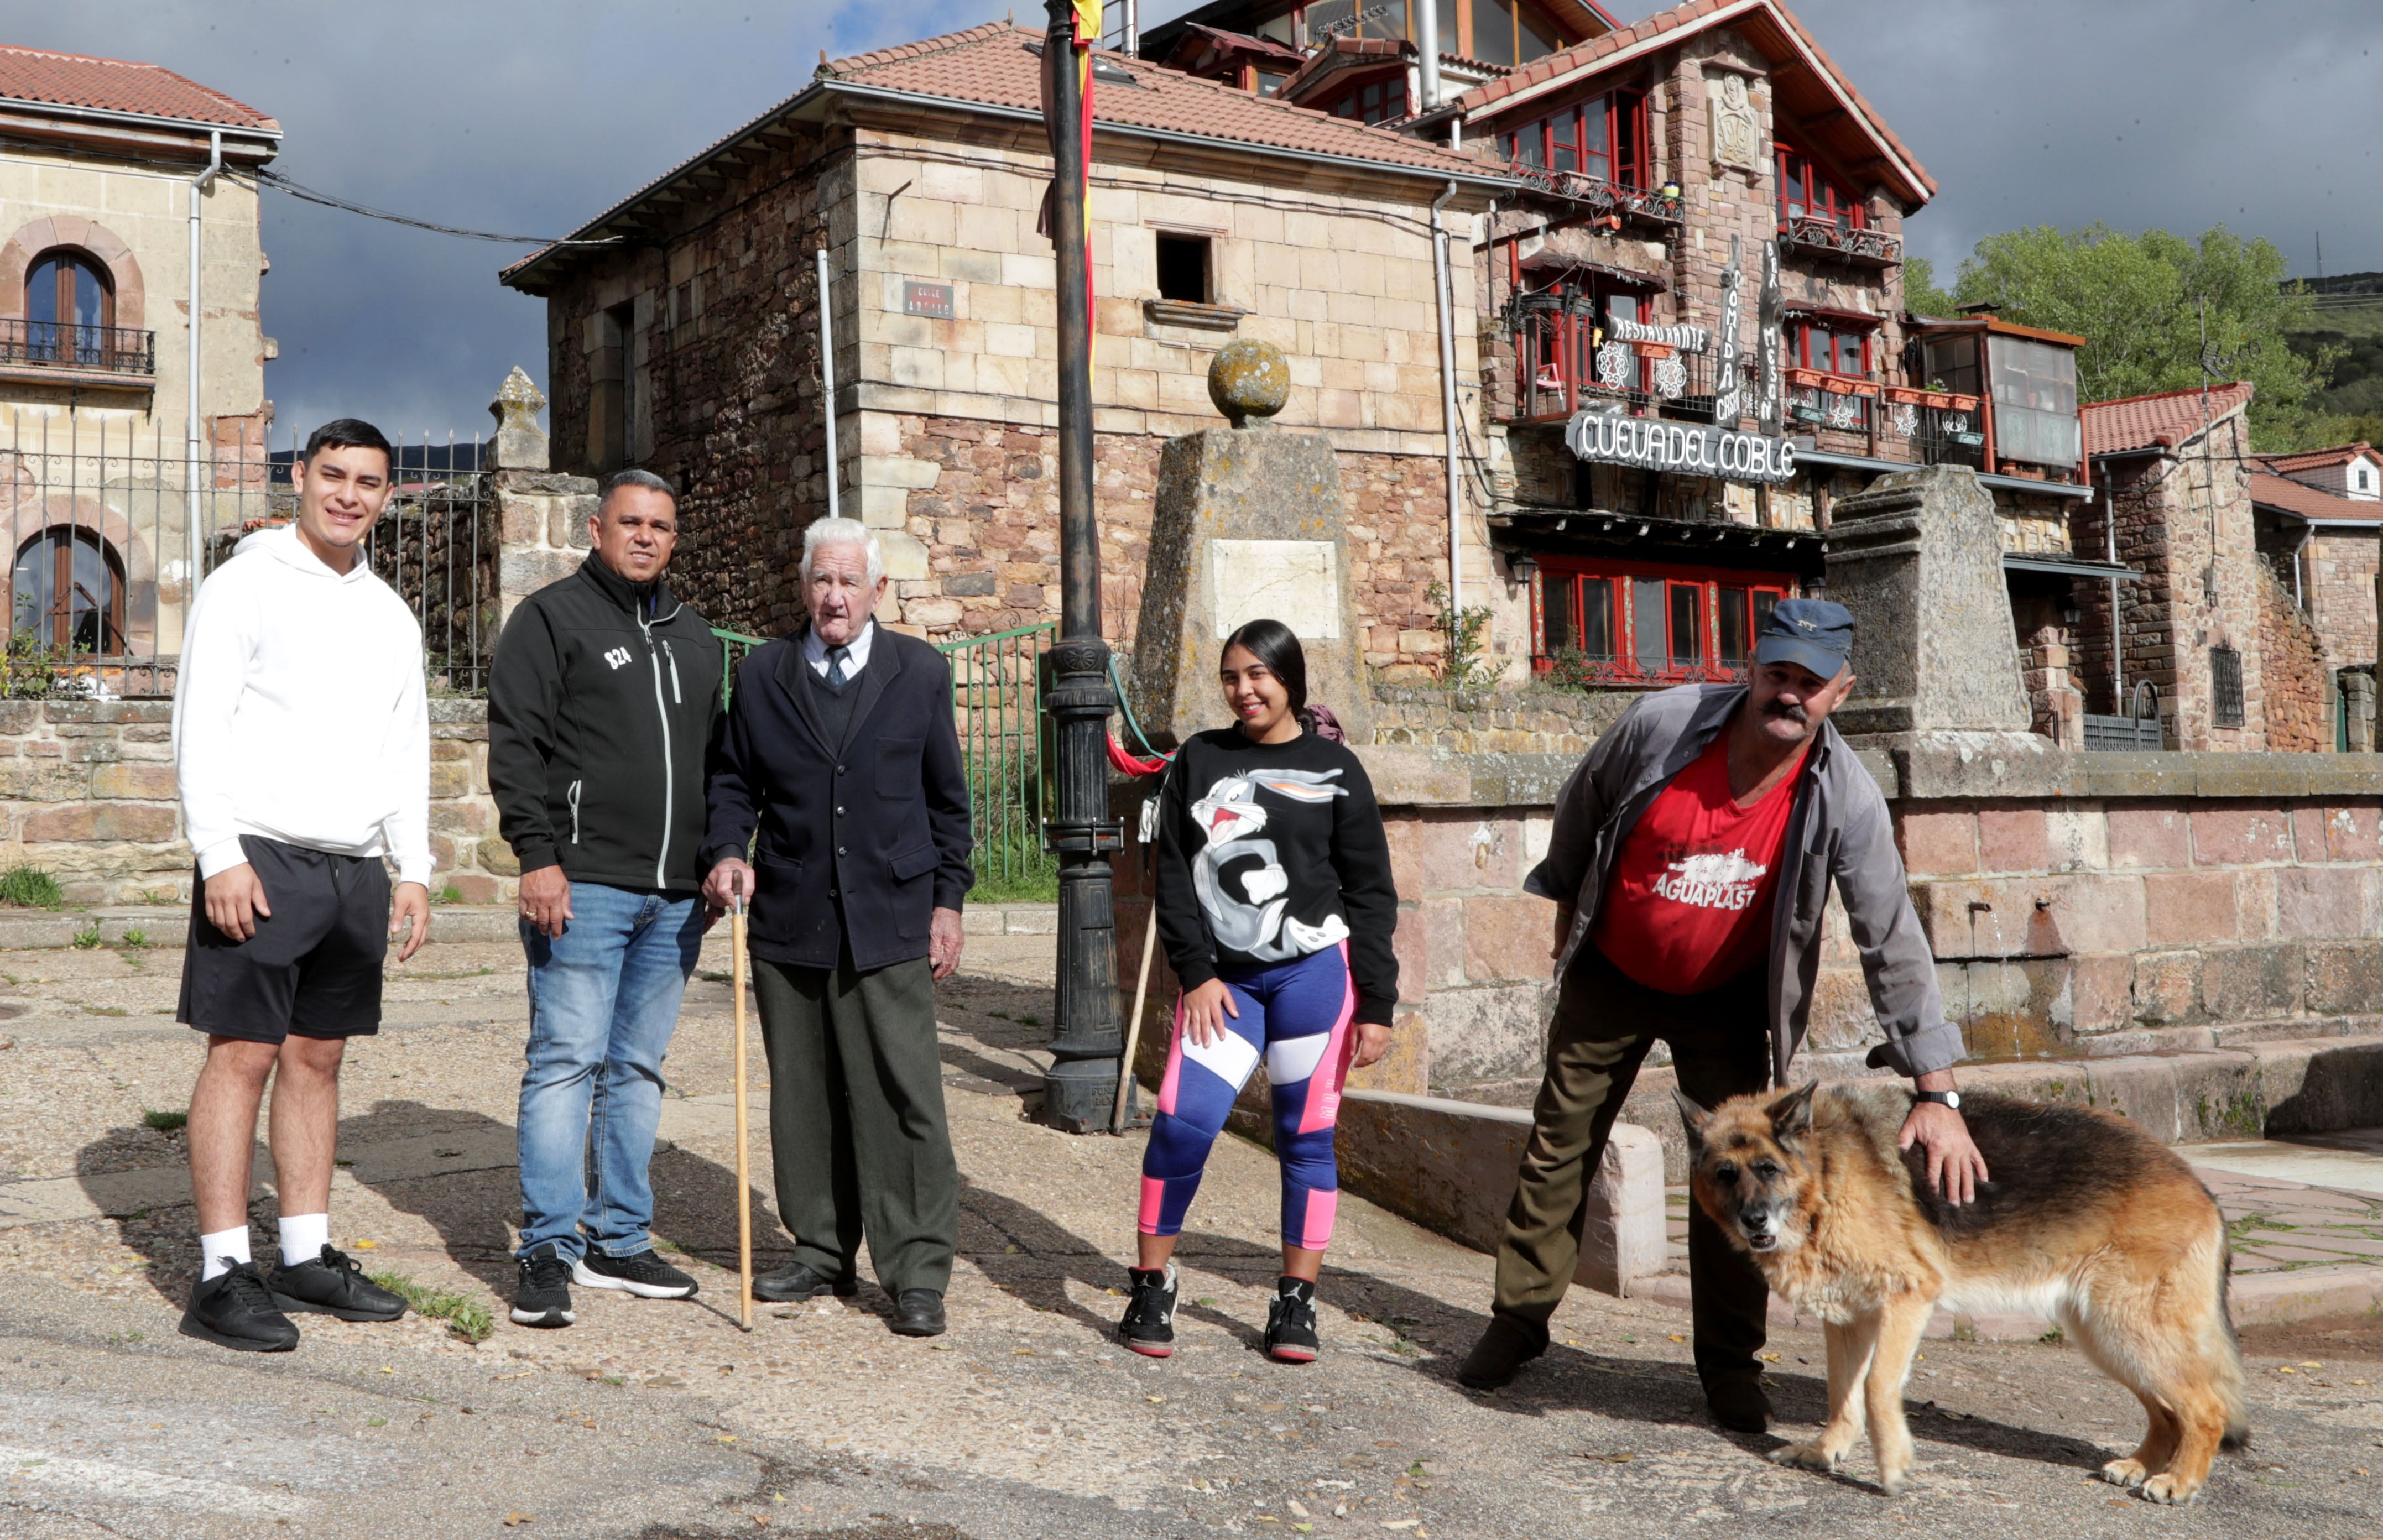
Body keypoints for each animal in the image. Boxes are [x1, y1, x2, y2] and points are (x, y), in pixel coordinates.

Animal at [1668, 1087, 2240, 1506]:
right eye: (1725, 1174)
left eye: (1767, 1169)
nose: (1754, 1221)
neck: (1824, 1173)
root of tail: (2200, 1187)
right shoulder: (1850, 1319)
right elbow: (1841, 1393)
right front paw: (1827, 1449)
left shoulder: (1906, 1299)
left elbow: (1874, 1386)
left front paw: (1892, 1465)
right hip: (2107, 1338)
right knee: (2167, 1411)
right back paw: (2142, 1464)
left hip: (2127, 1330)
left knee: (2205, 1408)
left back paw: (2178, 1480)